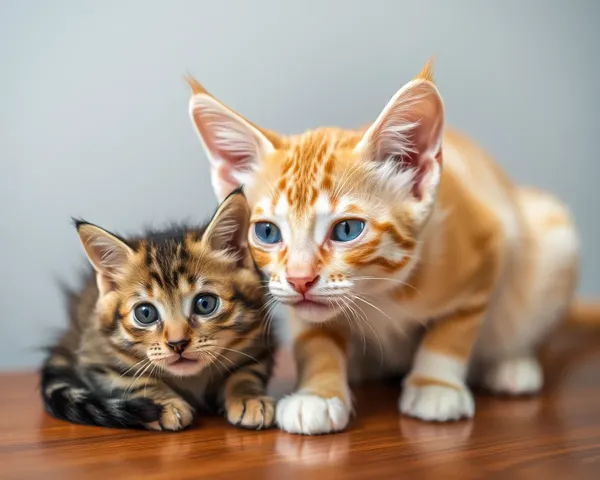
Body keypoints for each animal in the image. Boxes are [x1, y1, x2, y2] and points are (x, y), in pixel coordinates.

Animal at [41, 190, 276, 432]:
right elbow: (133, 380)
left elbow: (246, 372)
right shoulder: (96, 357)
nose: (177, 343)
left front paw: (248, 397)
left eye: (205, 304)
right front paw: (166, 404)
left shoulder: (260, 341)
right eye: (145, 313)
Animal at [186, 61, 596, 436]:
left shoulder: (490, 245)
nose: (300, 279)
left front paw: (436, 385)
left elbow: (455, 329)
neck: (378, 292)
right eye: (268, 232)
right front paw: (318, 394)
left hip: (552, 233)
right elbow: (315, 338)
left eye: (347, 229)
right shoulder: (292, 301)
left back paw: (510, 365)